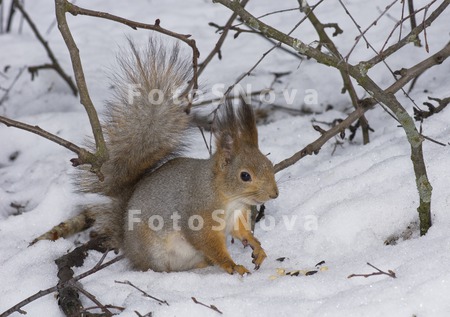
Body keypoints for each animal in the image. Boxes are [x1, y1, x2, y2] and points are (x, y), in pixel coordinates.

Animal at [34, 39, 278, 274]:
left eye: (270, 164)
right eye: (245, 176)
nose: (274, 194)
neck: (228, 196)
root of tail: (128, 246)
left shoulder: (237, 216)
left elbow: (241, 232)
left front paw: (257, 246)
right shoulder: (199, 214)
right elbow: (208, 242)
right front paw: (231, 265)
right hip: (153, 250)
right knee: (158, 267)